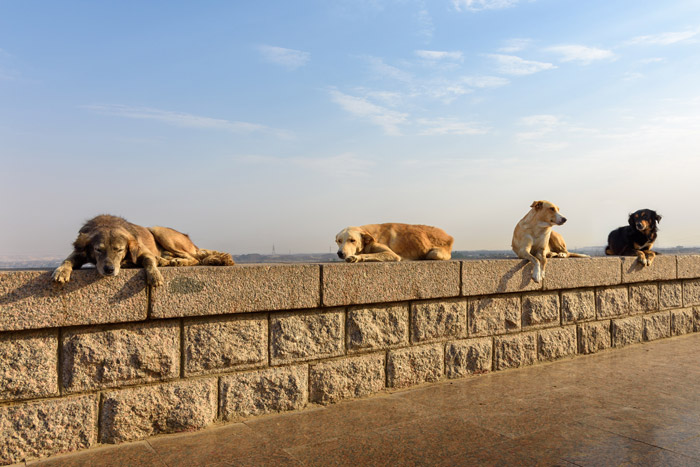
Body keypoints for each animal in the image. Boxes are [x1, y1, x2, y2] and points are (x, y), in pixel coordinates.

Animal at [52, 215, 237, 288]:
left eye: (119, 250)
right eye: (98, 250)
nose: (109, 269)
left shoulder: (143, 251)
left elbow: (149, 261)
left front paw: (155, 276)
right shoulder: (80, 252)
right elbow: (67, 260)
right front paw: (61, 272)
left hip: (160, 231)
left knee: (195, 258)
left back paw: (177, 261)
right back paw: (165, 260)